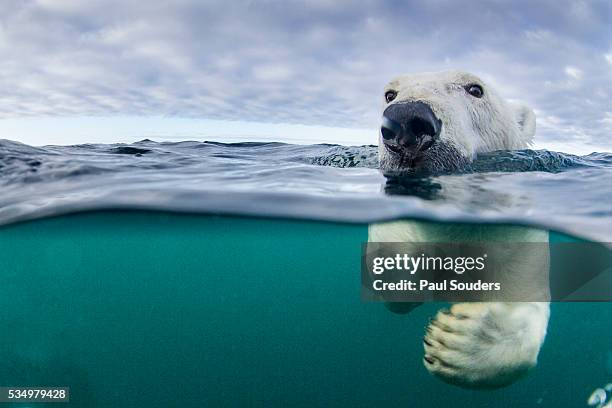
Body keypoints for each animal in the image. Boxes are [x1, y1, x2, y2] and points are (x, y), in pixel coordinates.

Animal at [370, 71, 552, 388]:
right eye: (390, 94)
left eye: (475, 89)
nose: (406, 120)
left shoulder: (520, 240)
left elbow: (524, 300)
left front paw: (458, 340)